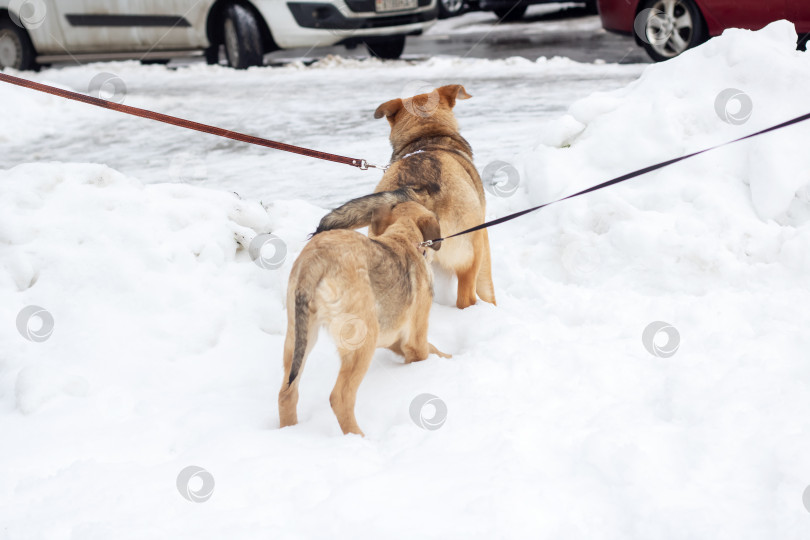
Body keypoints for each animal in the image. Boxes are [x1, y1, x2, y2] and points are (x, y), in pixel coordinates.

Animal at [280, 201, 448, 434]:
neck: (404, 236)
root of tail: (316, 258)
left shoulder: (395, 339)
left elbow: (433, 349)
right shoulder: (415, 339)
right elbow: (428, 350)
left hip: (298, 335)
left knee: (287, 393)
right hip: (363, 339)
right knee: (340, 397)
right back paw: (359, 437)